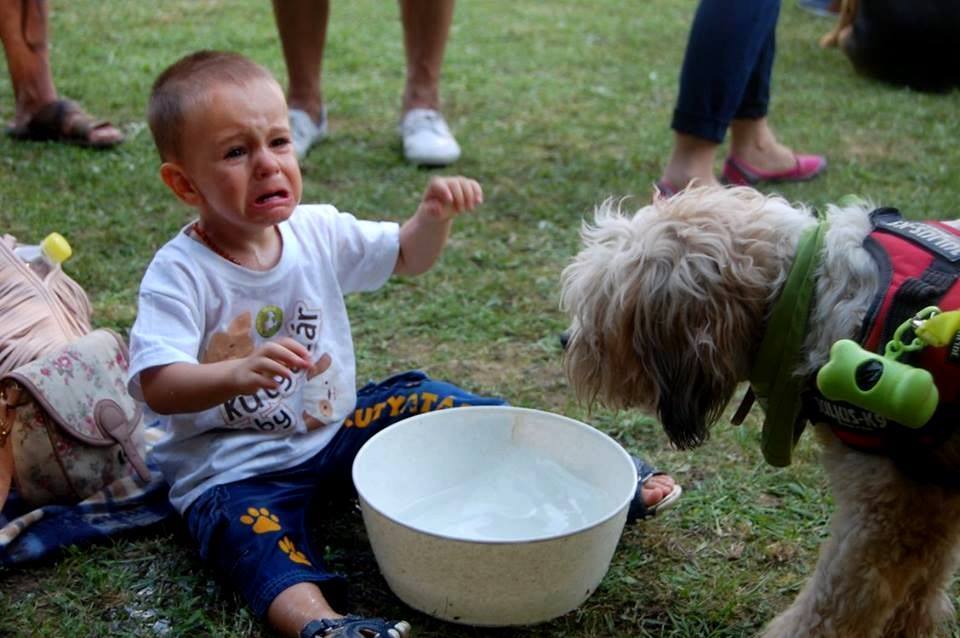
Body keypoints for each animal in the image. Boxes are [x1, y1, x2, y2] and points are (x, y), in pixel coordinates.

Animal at [560, 185, 960, 637]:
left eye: (599, 314)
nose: (565, 340)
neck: (808, 294)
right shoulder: (929, 497)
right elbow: (921, 592)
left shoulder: (881, 518)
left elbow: (828, 610)